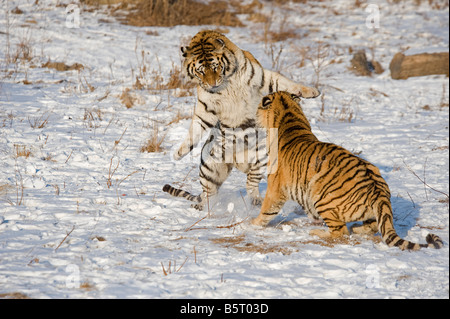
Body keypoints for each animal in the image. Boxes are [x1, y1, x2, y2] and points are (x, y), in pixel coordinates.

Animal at [162, 30, 320, 210]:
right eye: (201, 71)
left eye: (215, 67)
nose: (212, 84)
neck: (225, 84)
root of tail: (238, 162)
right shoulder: (206, 107)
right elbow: (195, 129)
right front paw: (178, 154)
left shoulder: (263, 79)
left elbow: (286, 83)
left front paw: (312, 91)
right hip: (210, 167)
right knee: (208, 192)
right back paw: (204, 207)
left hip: (261, 158)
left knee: (250, 183)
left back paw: (255, 201)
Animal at [251, 91, 444, 251]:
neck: (289, 116)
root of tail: (378, 191)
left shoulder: (275, 187)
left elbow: (267, 209)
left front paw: (252, 223)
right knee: (374, 225)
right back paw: (357, 229)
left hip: (320, 195)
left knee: (341, 231)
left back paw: (317, 232)